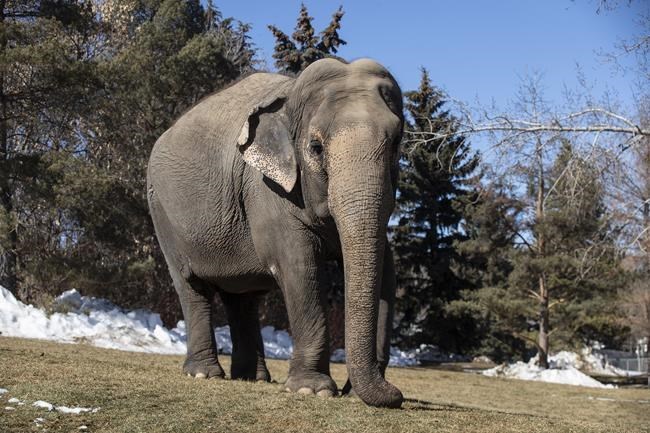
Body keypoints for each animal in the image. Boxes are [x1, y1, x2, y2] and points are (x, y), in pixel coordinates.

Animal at [146, 58, 404, 408]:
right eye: (316, 147)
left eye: (397, 143)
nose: (397, 394)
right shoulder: (266, 189)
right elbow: (299, 269)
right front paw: (313, 390)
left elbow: (388, 273)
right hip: (162, 213)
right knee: (191, 285)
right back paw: (203, 374)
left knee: (242, 298)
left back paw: (251, 377)